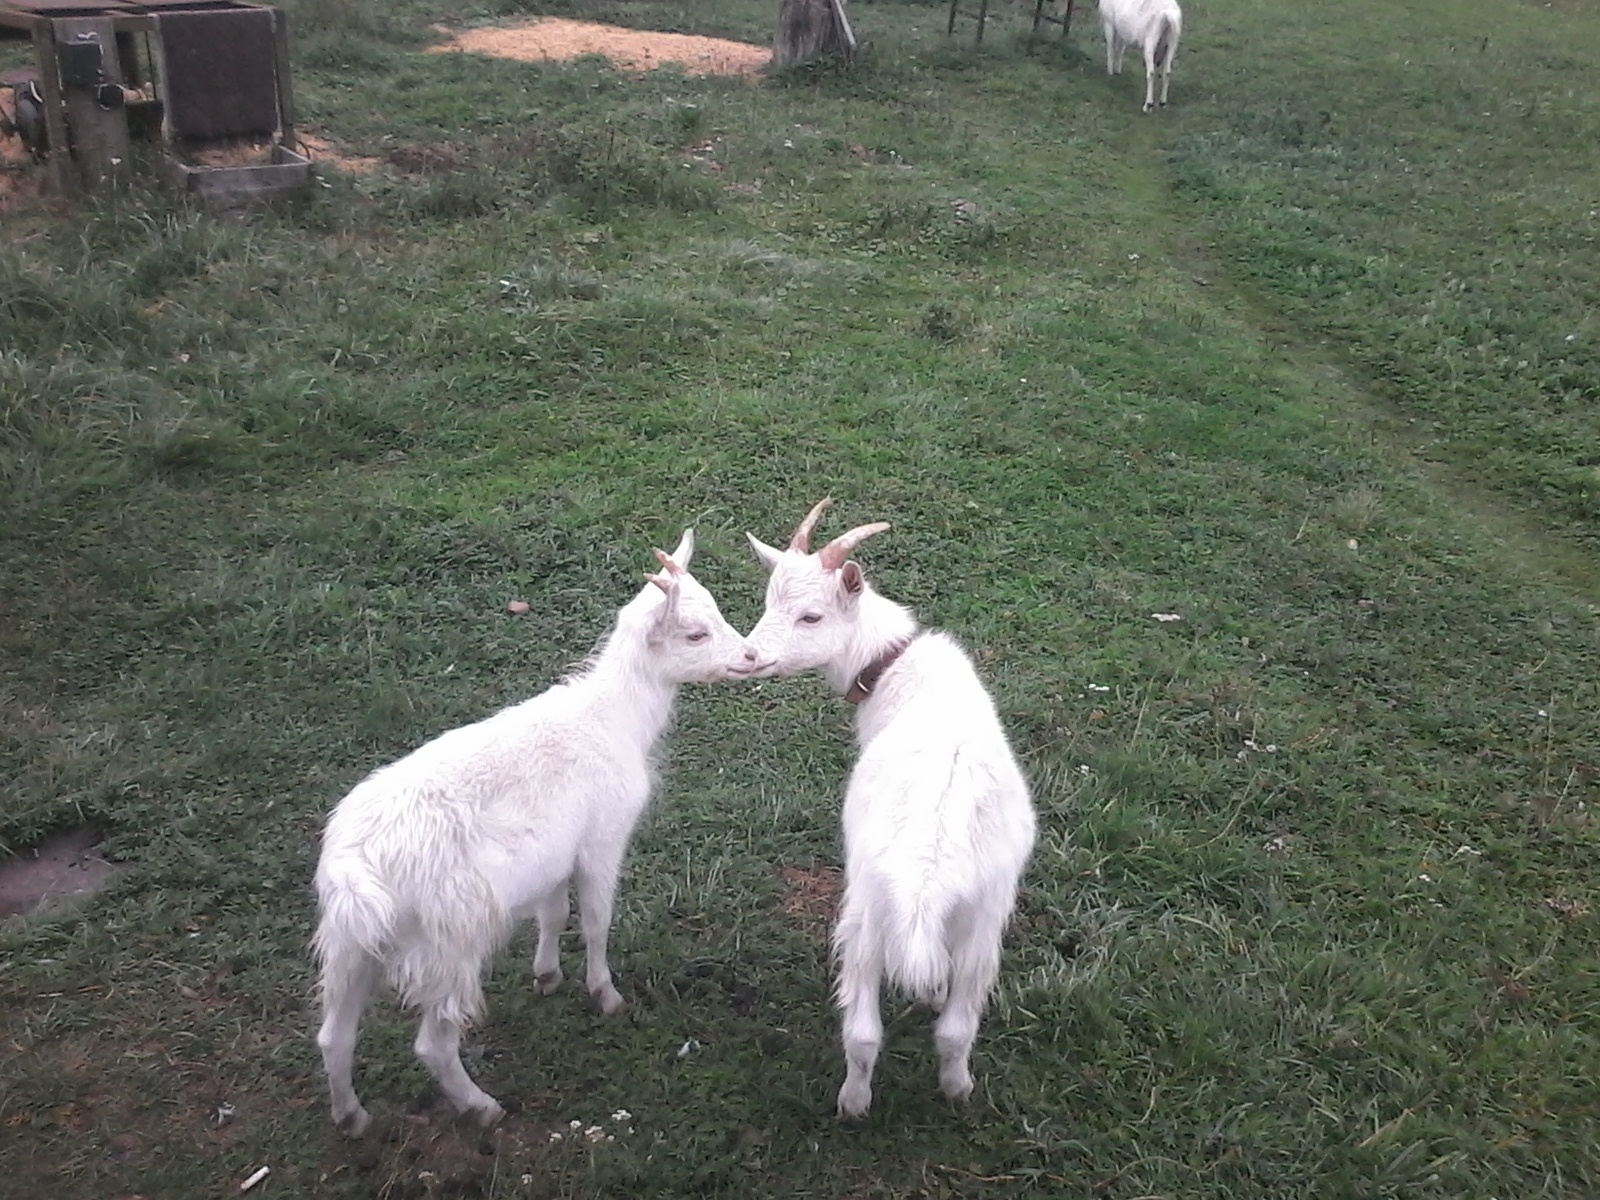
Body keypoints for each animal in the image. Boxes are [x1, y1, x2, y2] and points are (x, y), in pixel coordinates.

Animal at [316, 534, 761, 1139]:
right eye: (694, 633)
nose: (751, 656)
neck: (616, 721)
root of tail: (354, 872)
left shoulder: (556, 852)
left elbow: (553, 913)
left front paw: (547, 976)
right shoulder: (602, 838)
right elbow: (596, 919)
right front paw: (606, 995)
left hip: (349, 945)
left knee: (333, 1035)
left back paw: (353, 1117)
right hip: (450, 937)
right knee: (433, 1043)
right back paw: (481, 1106)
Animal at [739, 499, 1030, 1120]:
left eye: (812, 617)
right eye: (770, 600)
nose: (750, 656)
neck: (895, 667)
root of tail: (926, 881)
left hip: (866, 909)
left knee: (863, 1032)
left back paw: (852, 1104)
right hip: (985, 915)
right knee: (956, 1030)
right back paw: (957, 1091)